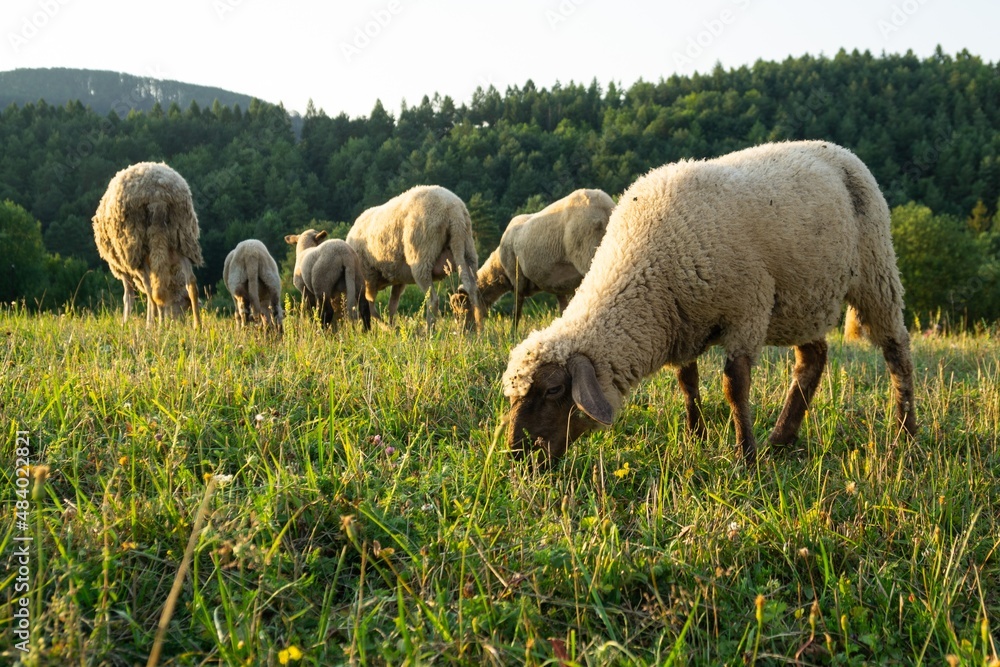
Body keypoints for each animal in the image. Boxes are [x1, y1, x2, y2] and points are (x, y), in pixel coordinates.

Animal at [92, 162, 203, 326]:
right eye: (182, 306)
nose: (177, 324)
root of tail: (158, 195)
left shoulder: (122, 268)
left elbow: (128, 296)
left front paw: (125, 323)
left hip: (136, 247)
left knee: (151, 289)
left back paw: (153, 325)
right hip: (182, 238)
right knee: (190, 282)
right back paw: (197, 326)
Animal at [346, 185, 486, 332]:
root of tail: (453, 211)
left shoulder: (369, 276)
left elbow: (372, 307)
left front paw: (387, 328)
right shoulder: (399, 278)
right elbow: (392, 305)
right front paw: (392, 326)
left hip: (422, 257)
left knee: (432, 299)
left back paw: (429, 330)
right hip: (467, 251)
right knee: (473, 290)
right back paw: (478, 328)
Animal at [450, 189, 614, 329]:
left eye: (463, 309)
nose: (464, 335)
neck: (499, 269)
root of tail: (604, 206)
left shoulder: (517, 278)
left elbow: (516, 311)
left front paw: (513, 334)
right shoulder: (559, 284)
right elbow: (563, 309)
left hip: (587, 254)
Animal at [502, 140, 917, 467]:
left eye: (553, 390)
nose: (517, 454)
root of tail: (840, 151)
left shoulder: (746, 309)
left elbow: (735, 386)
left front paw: (745, 456)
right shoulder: (681, 320)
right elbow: (687, 381)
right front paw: (696, 436)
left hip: (875, 270)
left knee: (896, 352)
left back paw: (905, 436)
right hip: (804, 298)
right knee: (812, 360)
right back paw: (782, 439)